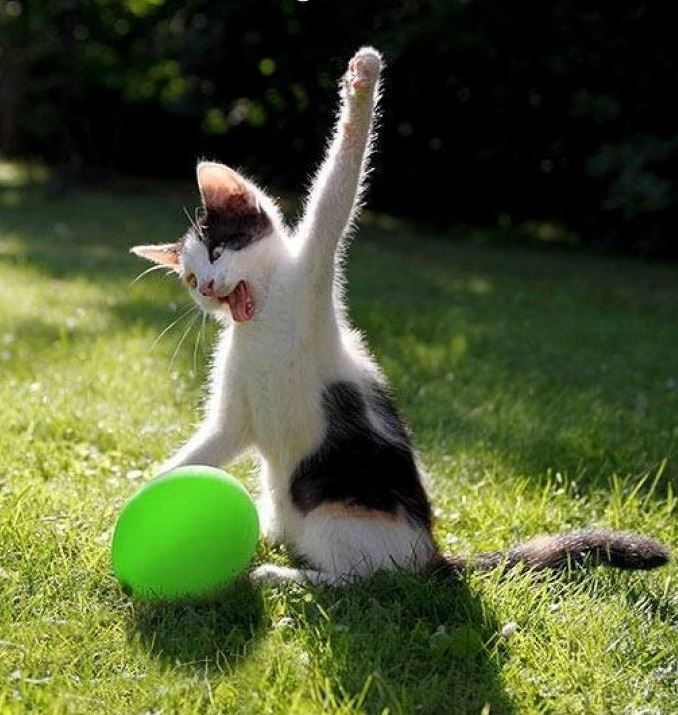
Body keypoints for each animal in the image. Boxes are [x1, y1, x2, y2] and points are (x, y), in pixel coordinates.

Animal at [131, 46, 668, 588]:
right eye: (190, 279)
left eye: (217, 252)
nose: (209, 289)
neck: (261, 321)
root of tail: (431, 552)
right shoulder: (233, 419)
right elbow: (198, 452)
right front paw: (130, 507)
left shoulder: (314, 270)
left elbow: (338, 186)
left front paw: (362, 82)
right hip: (289, 507)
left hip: (338, 515)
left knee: (363, 580)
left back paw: (283, 576)